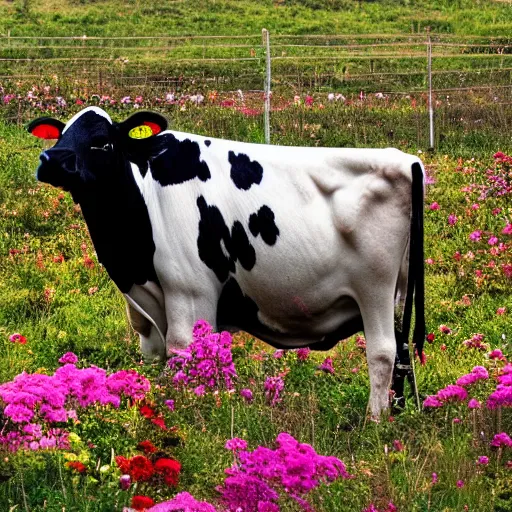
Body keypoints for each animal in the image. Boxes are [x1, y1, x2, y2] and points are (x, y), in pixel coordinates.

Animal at [27, 106, 424, 418]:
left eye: (102, 141)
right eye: (61, 133)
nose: (51, 160)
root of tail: (407, 161)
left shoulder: (190, 293)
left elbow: (184, 355)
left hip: (374, 287)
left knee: (383, 352)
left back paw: (374, 420)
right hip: (399, 294)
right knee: (401, 353)